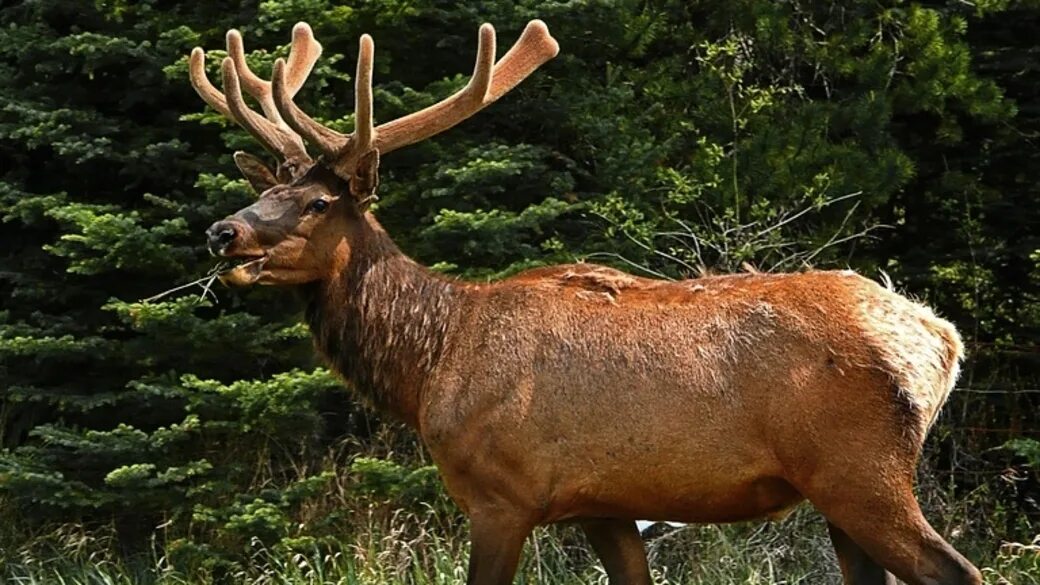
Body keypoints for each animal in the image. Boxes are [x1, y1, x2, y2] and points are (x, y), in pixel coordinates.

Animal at [189, 19, 981, 582]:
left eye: (319, 202)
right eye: (267, 188)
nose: (222, 232)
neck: (429, 365)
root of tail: (942, 340)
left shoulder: (502, 494)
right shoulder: (604, 504)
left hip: (861, 471)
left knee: (958, 571)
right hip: (844, 489)